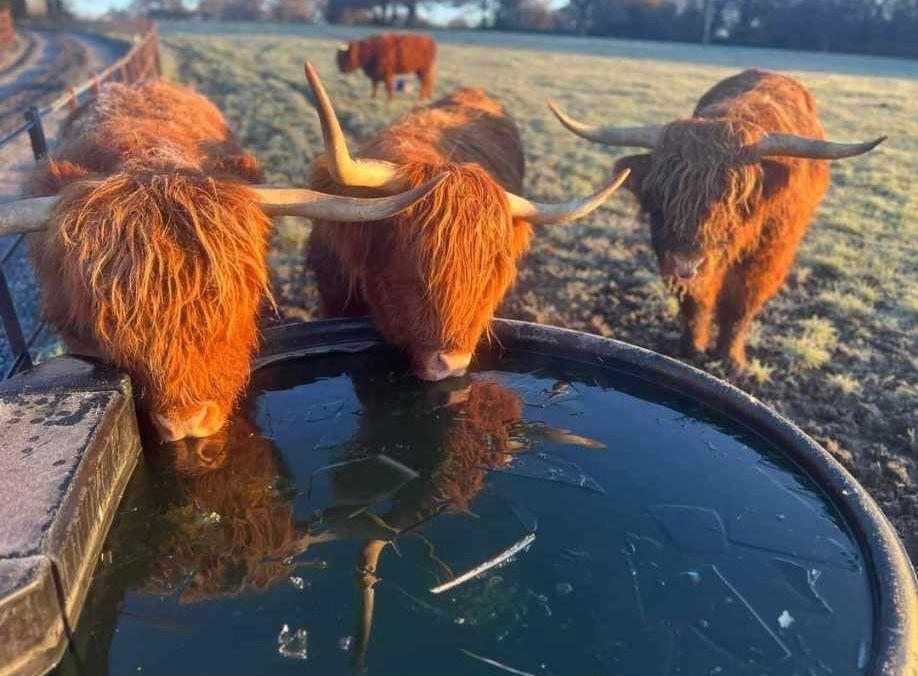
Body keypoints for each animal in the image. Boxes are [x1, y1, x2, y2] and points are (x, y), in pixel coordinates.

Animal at [548, 68, 888, 370]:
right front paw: (692, 349)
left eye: (734, 198)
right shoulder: (670, 254)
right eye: (661, 191)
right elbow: (694, 302)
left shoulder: (767, 256)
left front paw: (730, 360)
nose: (686, 262)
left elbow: (740, 305)